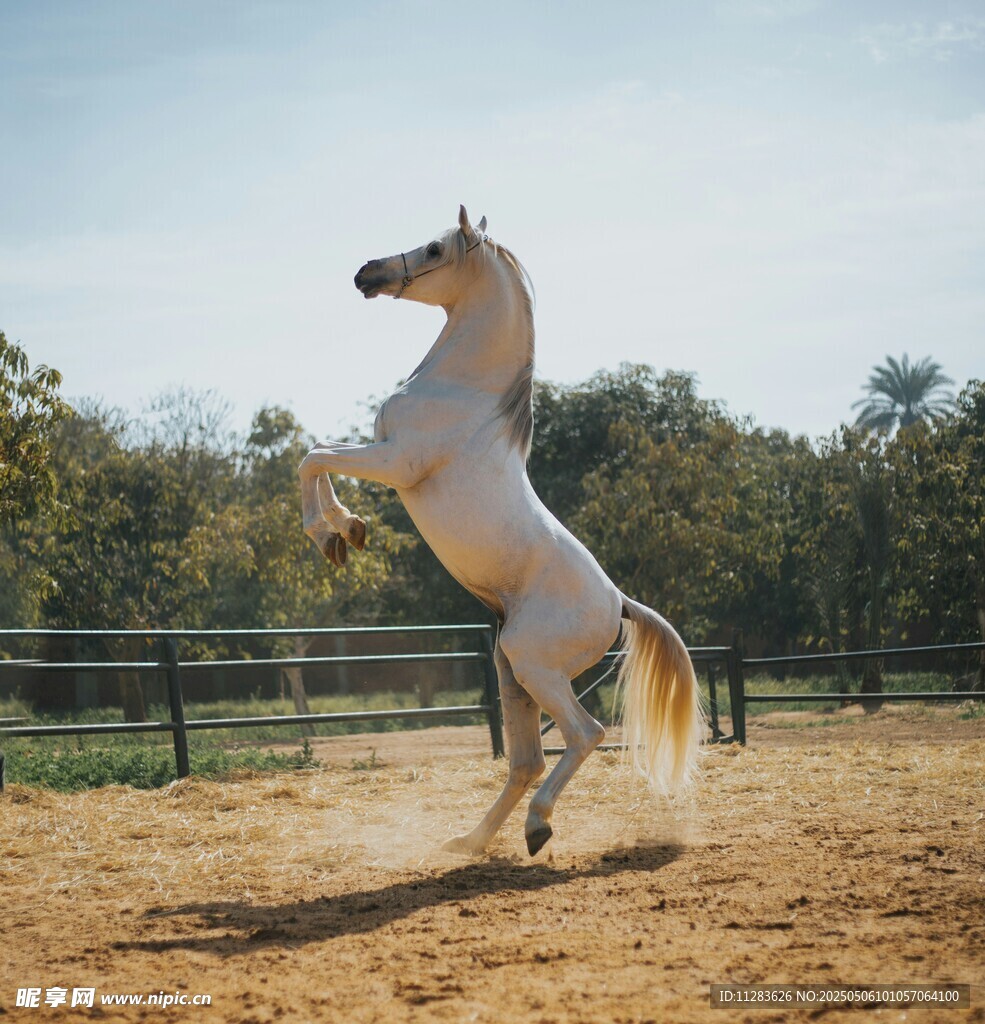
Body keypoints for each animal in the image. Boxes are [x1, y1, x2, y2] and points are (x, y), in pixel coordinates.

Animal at [298, 206, 703, 856]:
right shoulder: (383, 454)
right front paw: (346, 532)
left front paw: (334, 533)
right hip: (511, 672)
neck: (464, 390)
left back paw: (537, 827)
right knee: (526, 760)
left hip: (534, 665)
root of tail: (618, 603)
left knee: (585, 734)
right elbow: (317, 455)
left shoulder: (397, 462)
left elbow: (313, 458)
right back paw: (472, 839)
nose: (366, 272)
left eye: (434, 248)